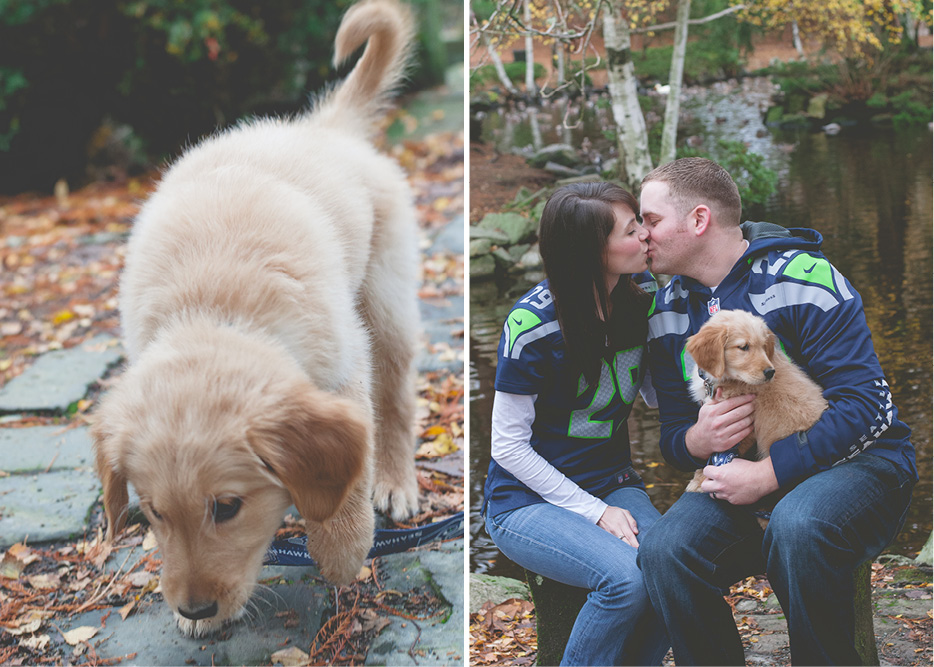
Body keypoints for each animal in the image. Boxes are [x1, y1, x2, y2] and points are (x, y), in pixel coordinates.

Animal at [90, 0, 420, 640]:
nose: (194, 608)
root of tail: (323, 129)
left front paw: (341, 550)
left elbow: (349, 475)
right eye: (154, 513)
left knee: (395, 400)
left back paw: (396, 480)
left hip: (387, 304)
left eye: (227, 508)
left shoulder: (343, 366)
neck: (214, 311)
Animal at [684, 310, 828, 500]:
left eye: (763, 346)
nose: (770, 372)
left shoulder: (742, 426)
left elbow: (720, 453)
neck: (731, 379)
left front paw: (701, 479)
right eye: (744, 347)